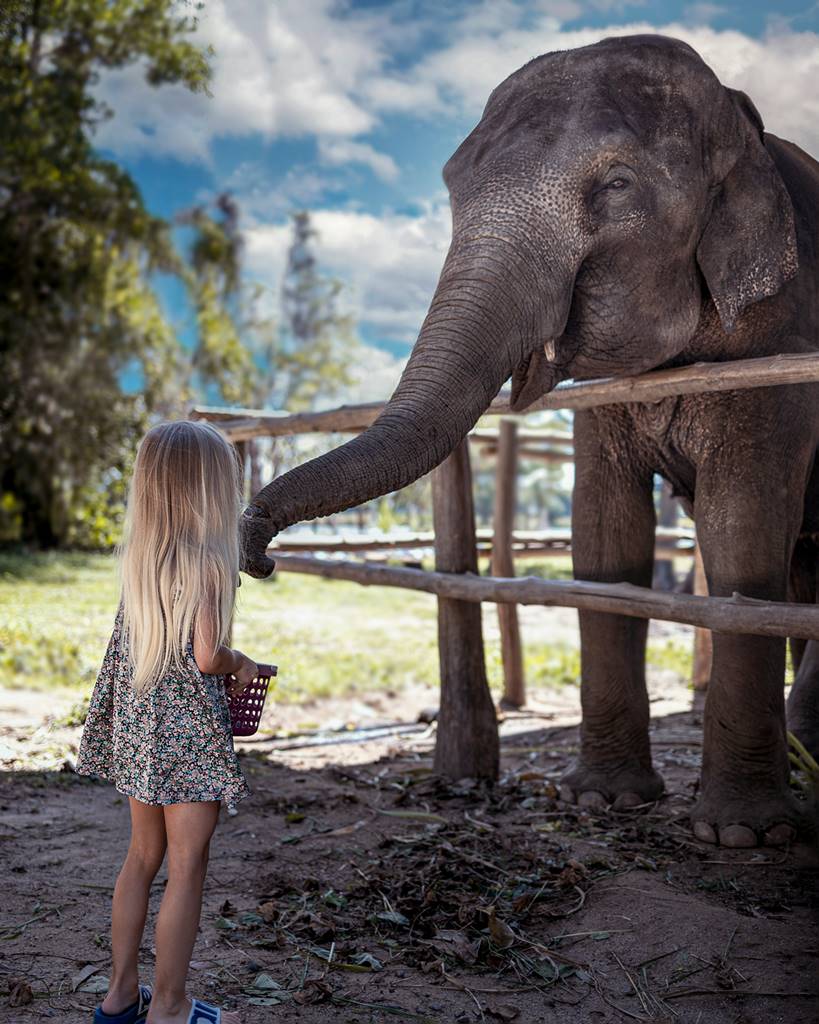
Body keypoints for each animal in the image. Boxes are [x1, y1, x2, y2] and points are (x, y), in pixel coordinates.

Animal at [243, 34, 818, 847]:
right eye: (451, 185)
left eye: (617, 185)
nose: (256, 550)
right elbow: (605, 538)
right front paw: (600, 801)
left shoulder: (780, 348)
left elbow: (739, 533)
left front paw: (742, 836)